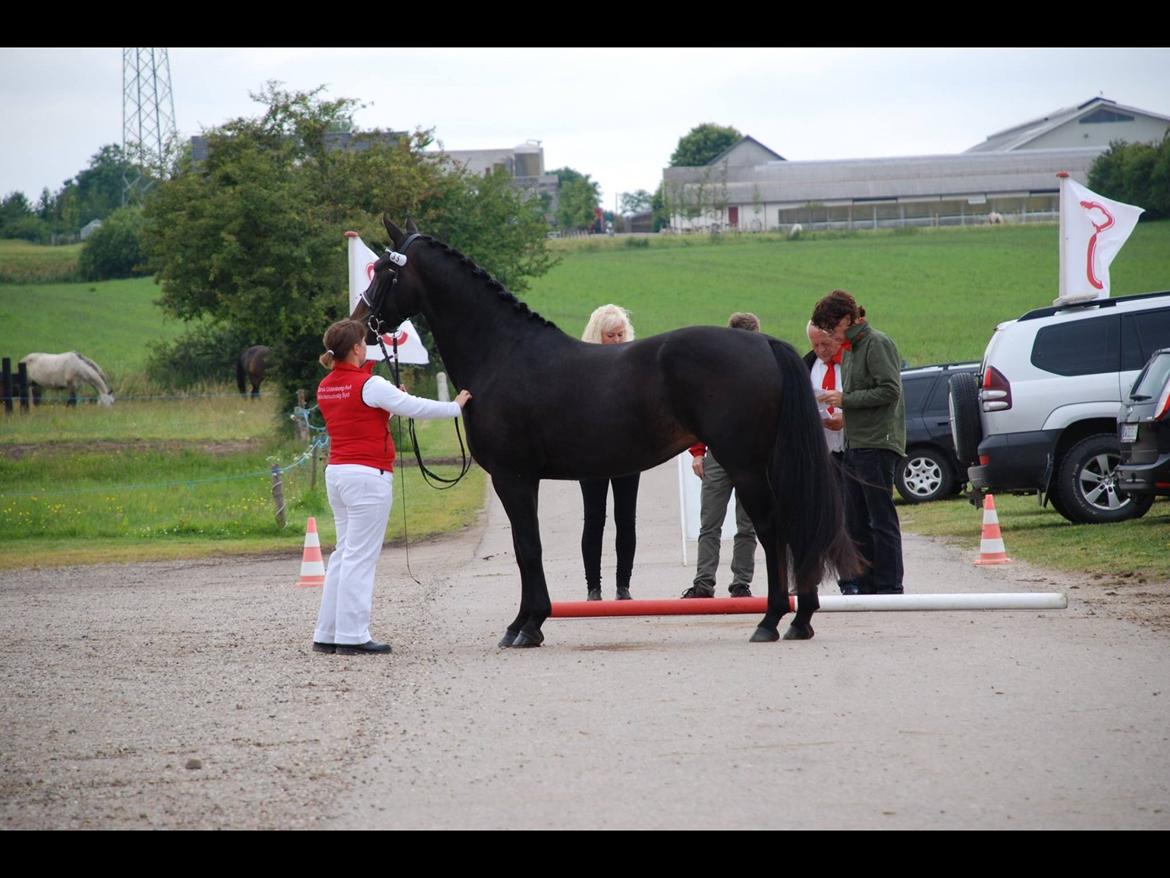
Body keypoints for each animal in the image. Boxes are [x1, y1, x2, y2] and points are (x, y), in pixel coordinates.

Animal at [351, 217, 856, 650]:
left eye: (383, 270)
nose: (360, 324)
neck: (502, 354)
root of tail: (762, 342)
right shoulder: (522, 480)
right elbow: (525, 548)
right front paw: (525, 622)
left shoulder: (513, 477)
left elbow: (527, 548)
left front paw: (527, 626)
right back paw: (801, 619)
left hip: (745, 464)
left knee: (773, 528)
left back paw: (771, 621)